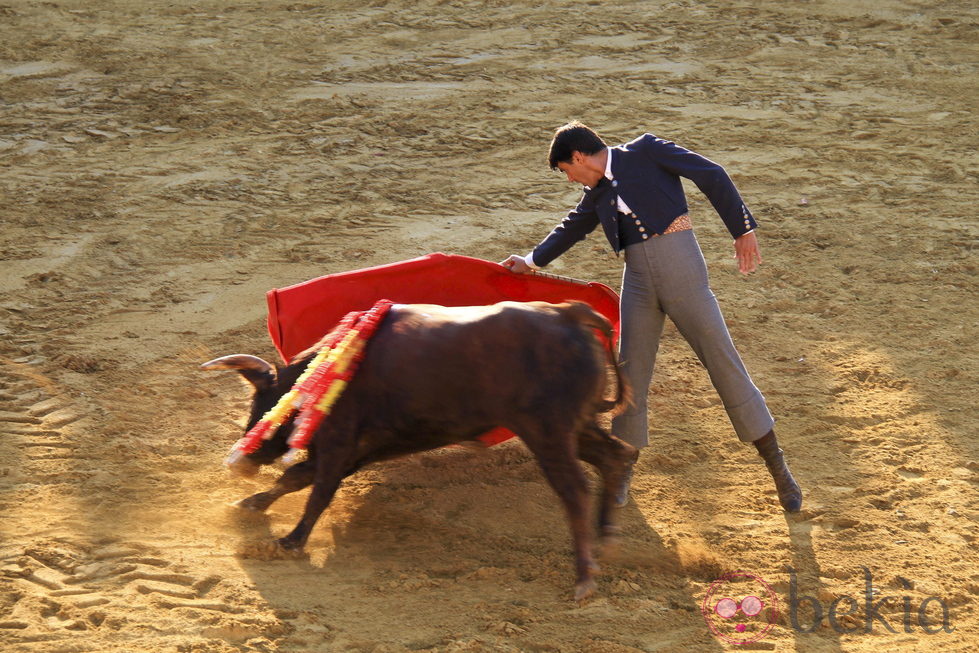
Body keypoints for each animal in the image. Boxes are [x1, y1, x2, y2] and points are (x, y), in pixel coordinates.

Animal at [203, 300, 640, 600]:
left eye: (261, 405)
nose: (240, 462)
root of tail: (569, 313)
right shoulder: (356, 450)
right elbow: (296, 478)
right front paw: (251, 504)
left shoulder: (340, 444)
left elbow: (317, 492)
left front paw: (291, 541)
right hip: (574, 428)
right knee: (615, 455)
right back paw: (607, 538)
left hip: (547, 433)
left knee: (575, 490)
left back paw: (584, 577)